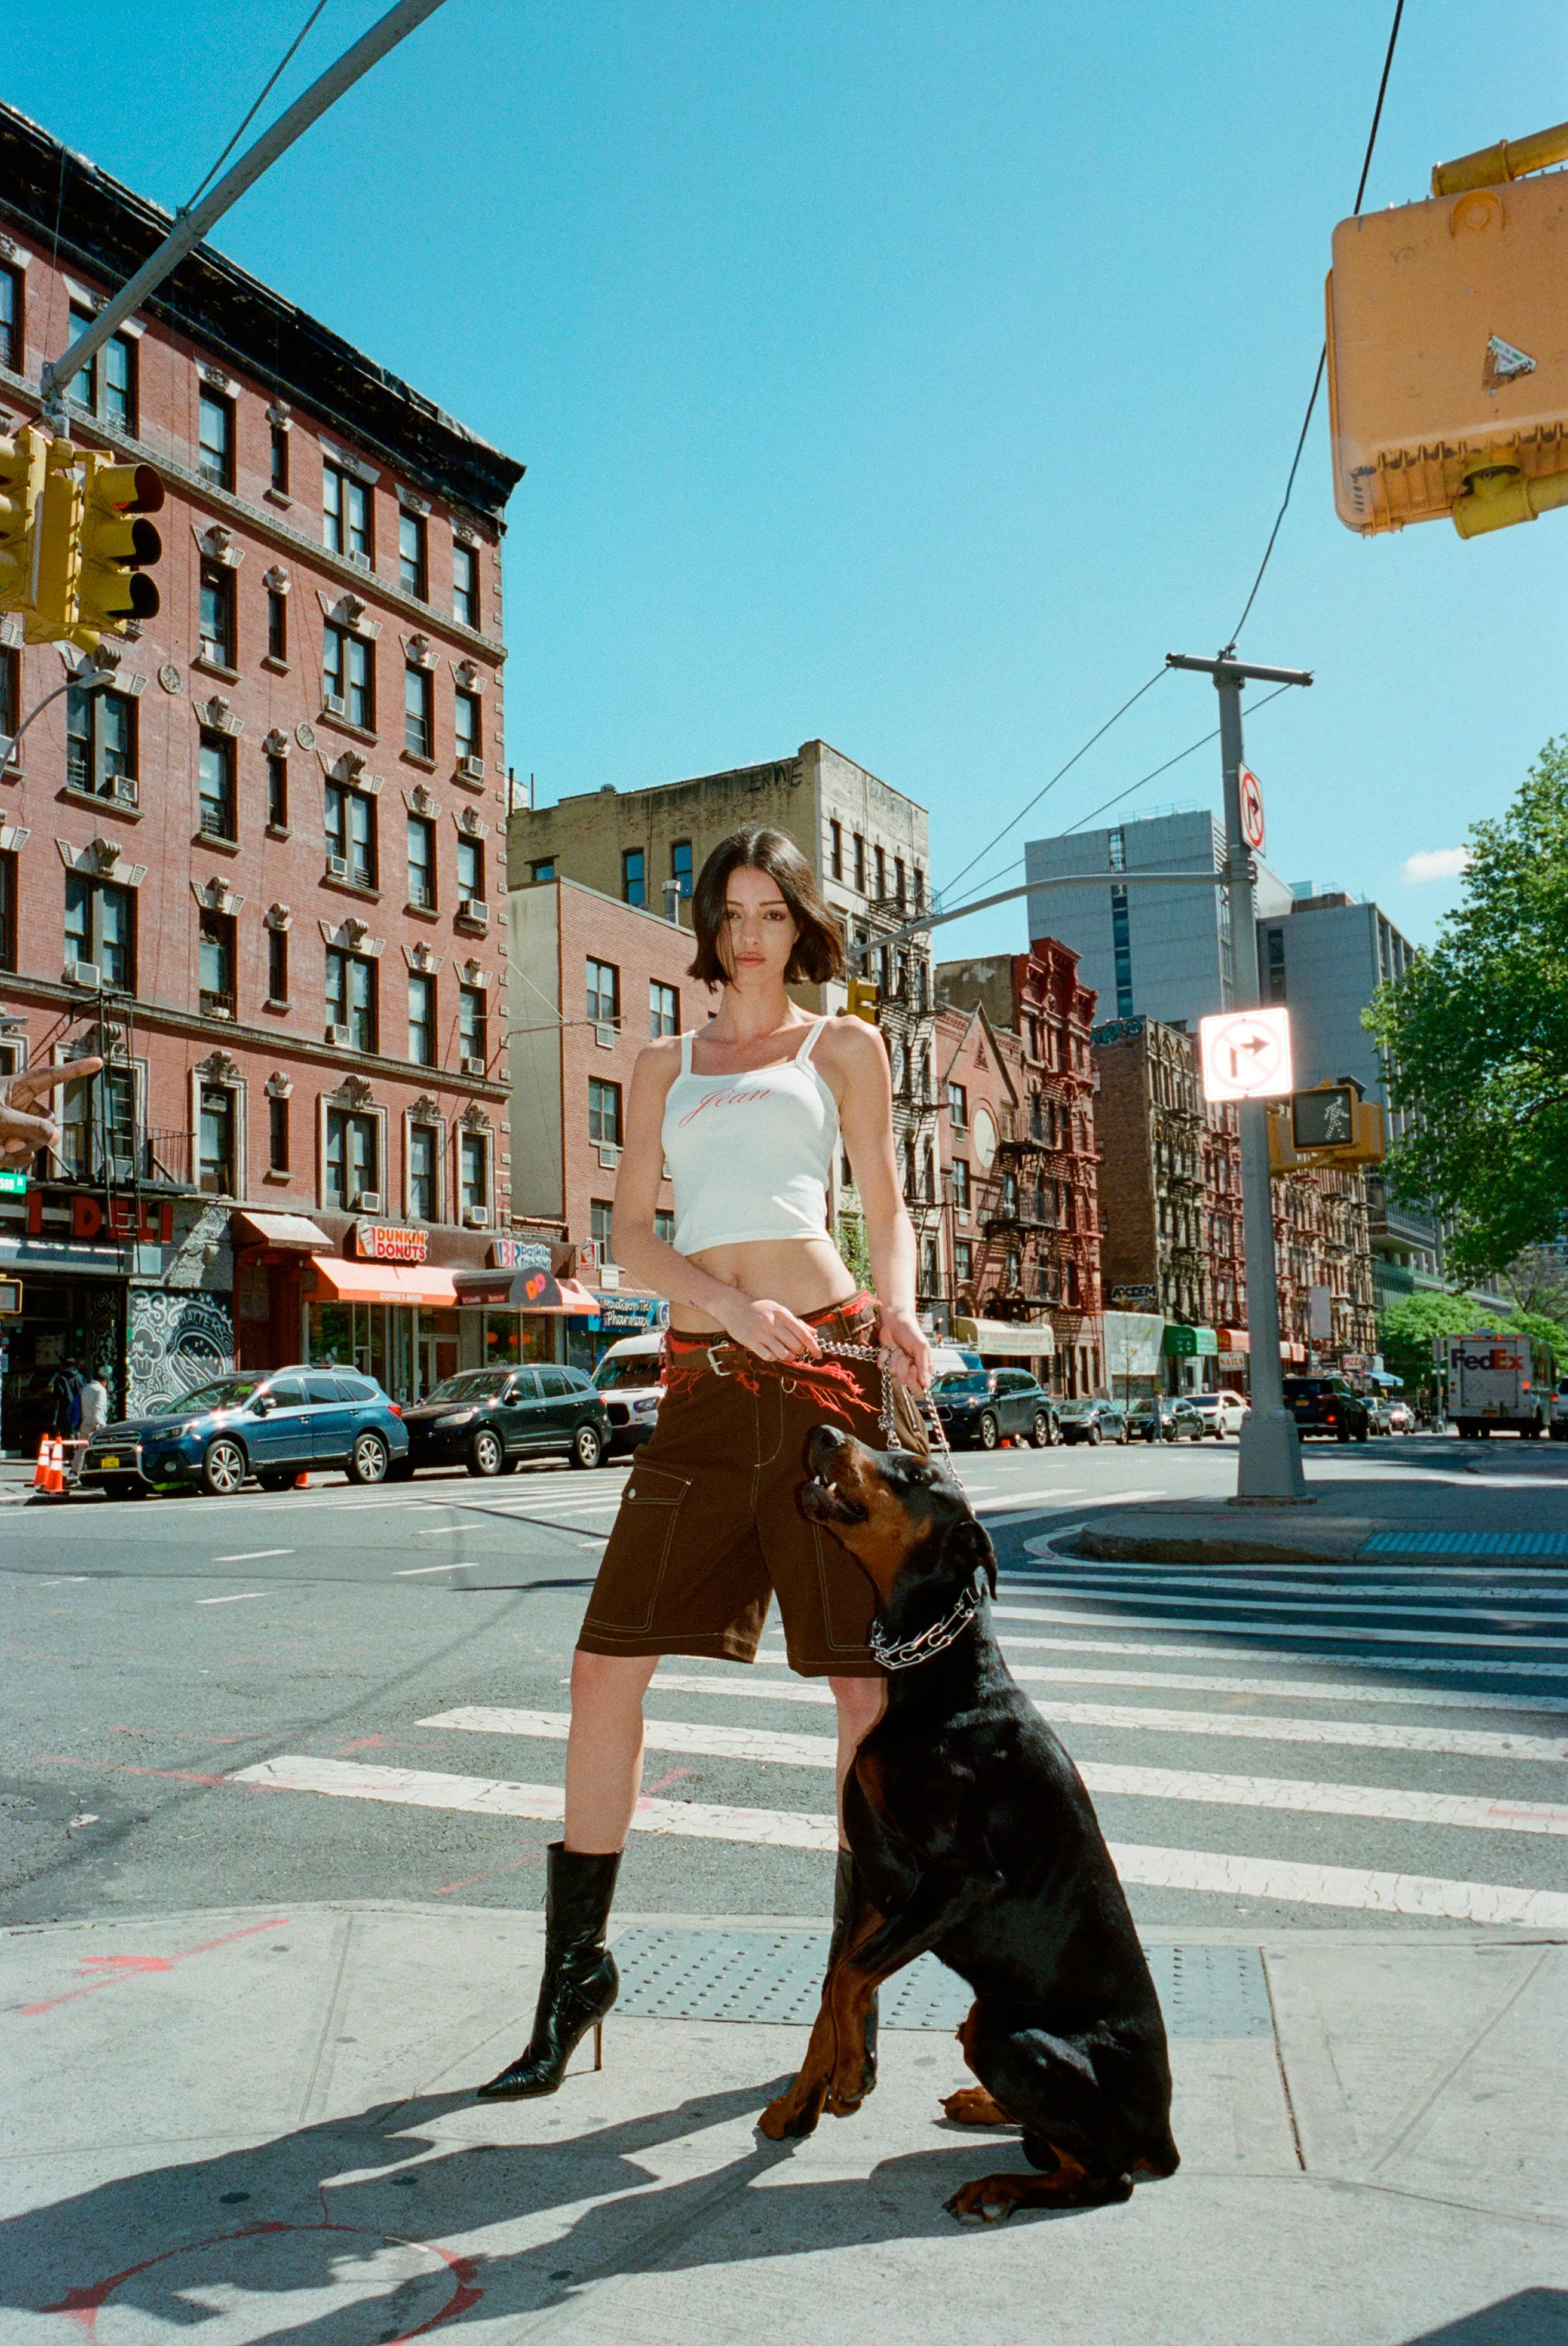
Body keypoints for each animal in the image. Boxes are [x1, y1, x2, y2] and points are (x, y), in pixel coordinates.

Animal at [756, 1426, 1173, 2214]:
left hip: (1008, 2034)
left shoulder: (961, 1878)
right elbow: (832, 1985)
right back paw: (986, 2108)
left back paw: (999, 2182)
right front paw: (803, 2099)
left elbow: (848, 1977)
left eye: (917, 1473)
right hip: (983, 2017)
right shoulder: (876, 1874)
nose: (824, 1432)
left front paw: (851, 2080)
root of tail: (1164, 2134)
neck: (941, 1677)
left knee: (1106, 2177)